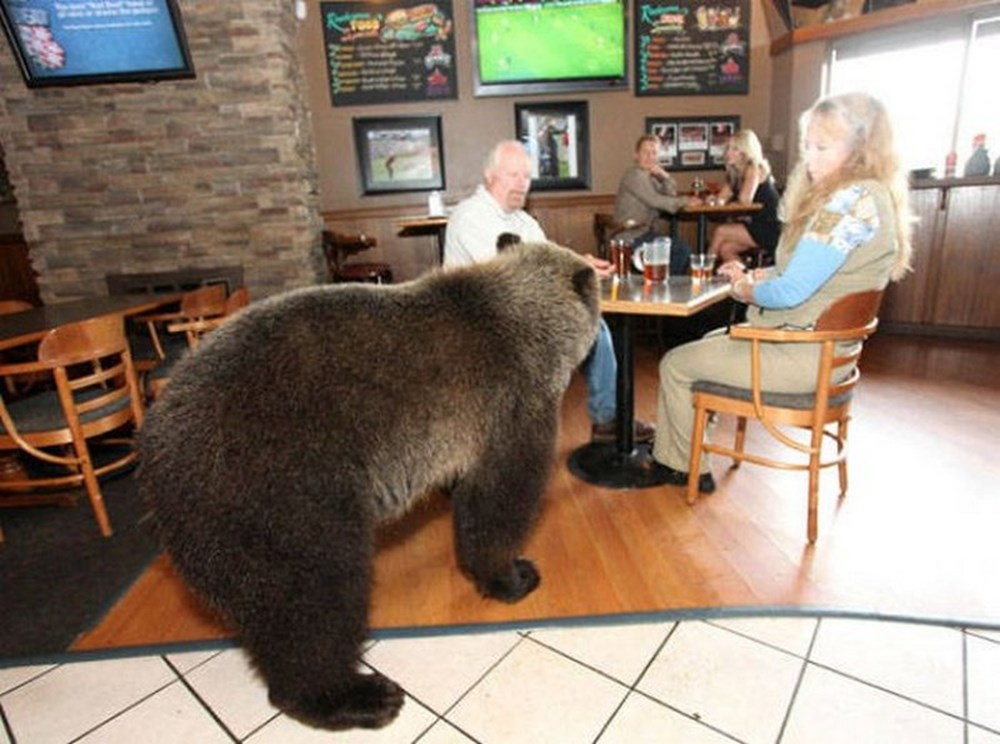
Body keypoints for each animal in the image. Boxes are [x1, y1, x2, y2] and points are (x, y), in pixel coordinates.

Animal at [137, 241, 596, 728]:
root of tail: (150, 455)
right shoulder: (511, 404)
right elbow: (500, 499)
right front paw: (513, 575)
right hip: (275, 492)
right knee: (317, 597)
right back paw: (357, 695)